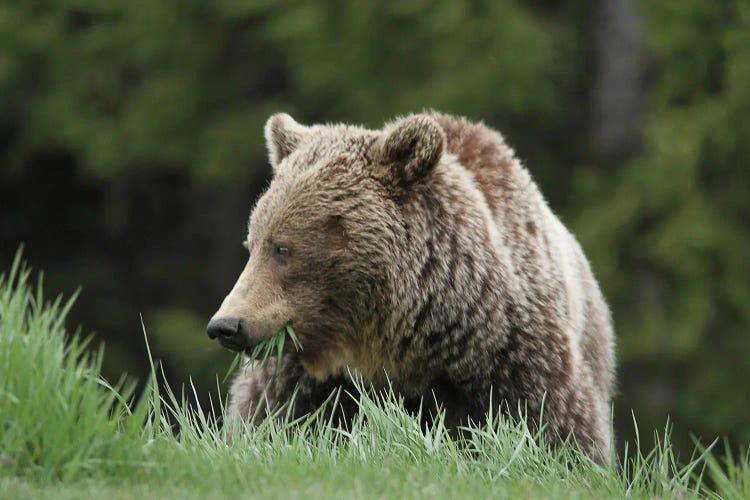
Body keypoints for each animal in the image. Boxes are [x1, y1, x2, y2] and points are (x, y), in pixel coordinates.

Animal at [207, 110, 616, 460]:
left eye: (283, 248)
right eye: (252, 243)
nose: (227, 325)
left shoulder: (514, 354)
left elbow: (556, 429)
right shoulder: (300, 372)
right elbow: (268, 417)